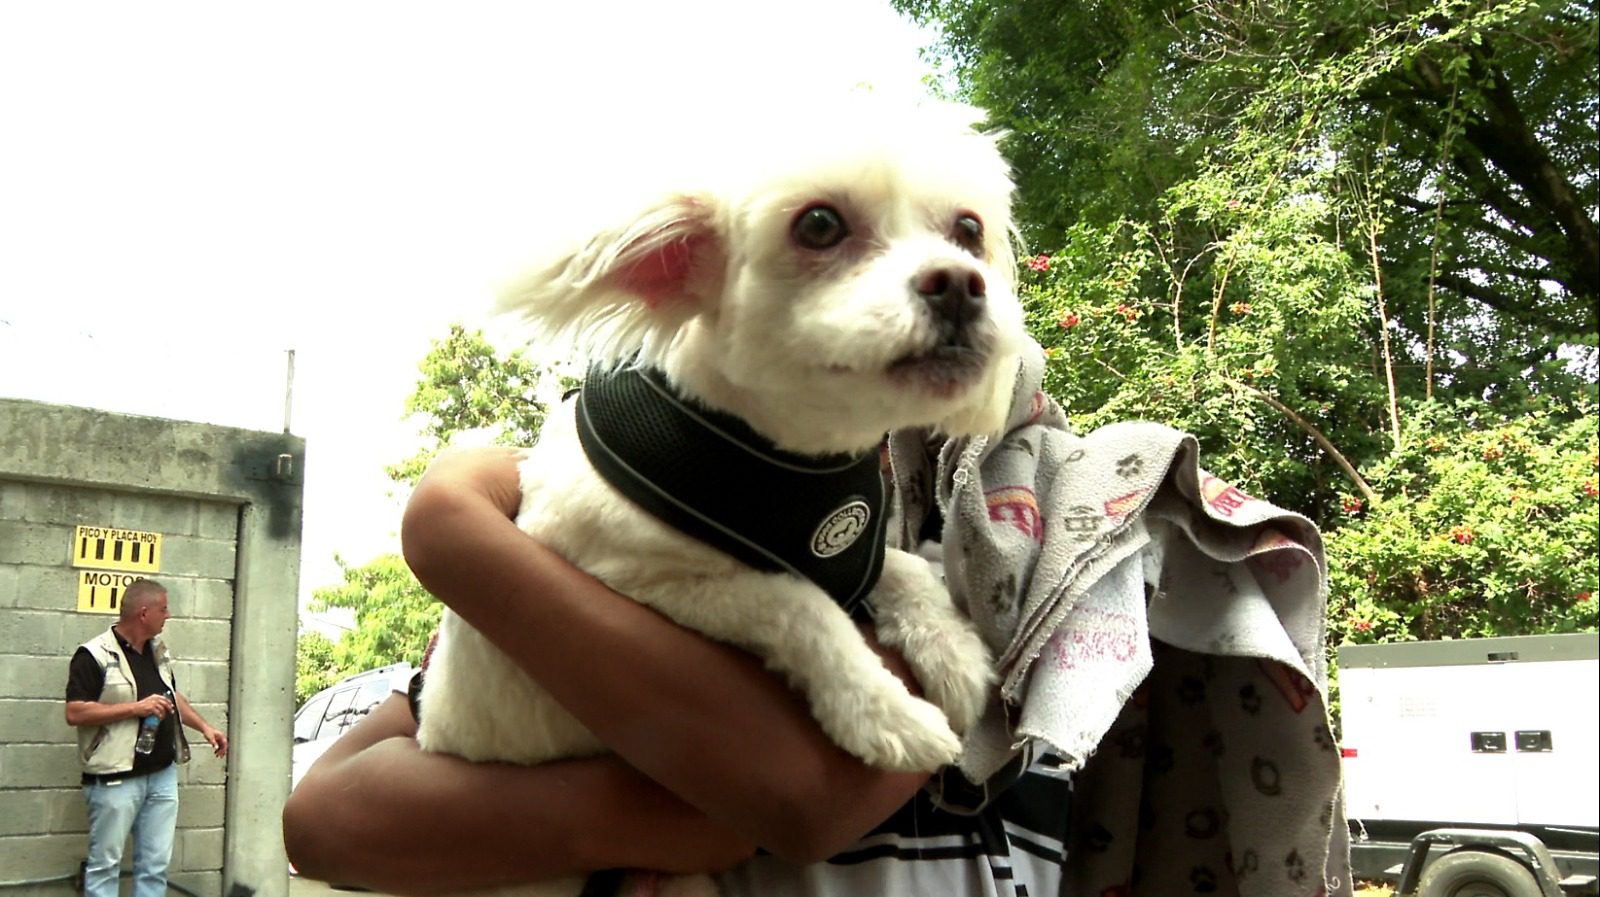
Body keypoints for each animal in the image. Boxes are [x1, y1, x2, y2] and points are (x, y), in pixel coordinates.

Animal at [416, 99, 1024, 895]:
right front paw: (882, 711)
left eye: (969, 231)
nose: (958, 283)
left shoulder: (854, 548)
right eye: (819, 224)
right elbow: (801, 602)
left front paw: (950, 653)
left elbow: (903, 569)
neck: (786, 457)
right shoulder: (639, 576)